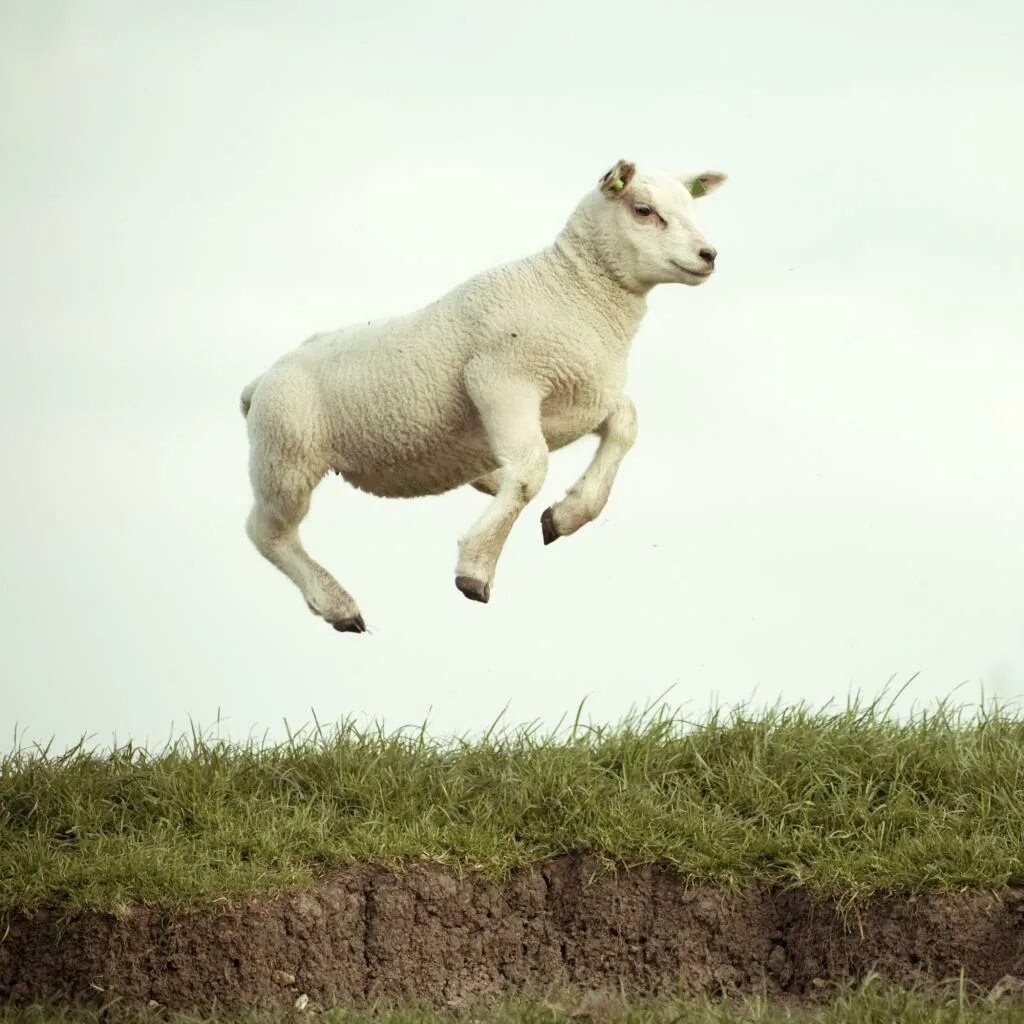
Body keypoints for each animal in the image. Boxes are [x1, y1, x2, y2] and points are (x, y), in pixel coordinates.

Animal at [241, 157, 729, 630]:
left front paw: (565, 515)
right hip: (286, 455)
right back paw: (337, 605)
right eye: (644, 210)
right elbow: (531, 471)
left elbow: (625, 426)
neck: (575, 293)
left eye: (691, 207)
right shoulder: (499, 378)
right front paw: (475, 570)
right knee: (268, 533)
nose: (709, 255)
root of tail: (262, 377)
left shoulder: (584, 396)